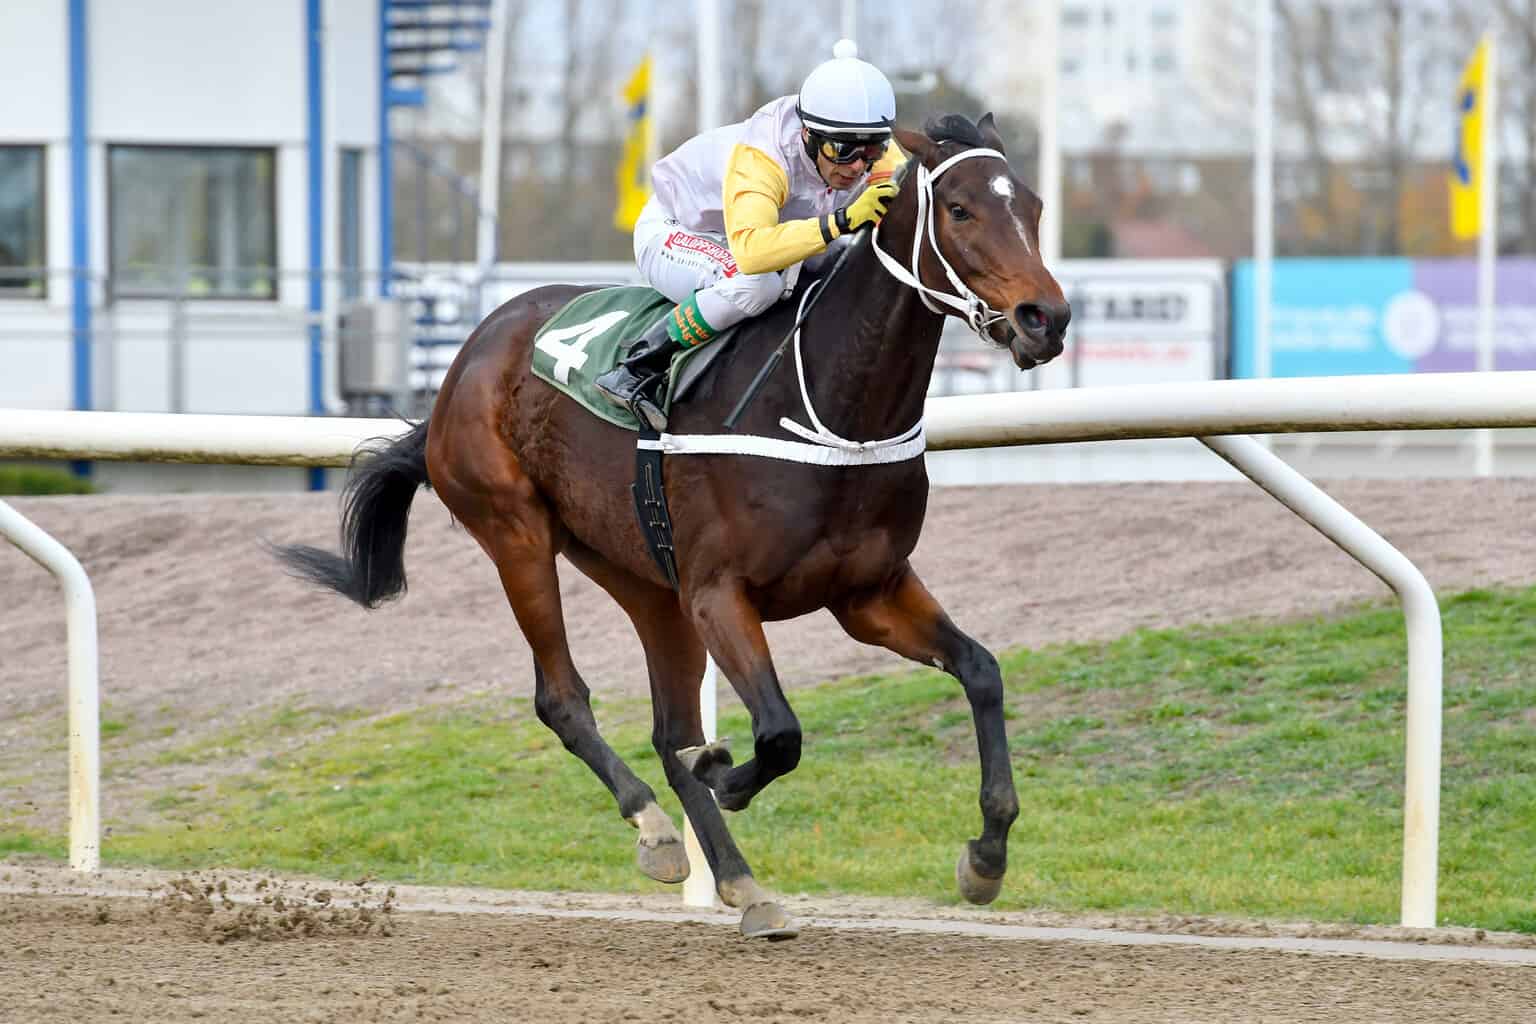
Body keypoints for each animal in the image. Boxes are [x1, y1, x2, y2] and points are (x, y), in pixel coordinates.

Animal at [276, 112, 1069, 939]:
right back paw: (656, 829)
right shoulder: (720, 593)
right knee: (564, 698)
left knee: (668, 731)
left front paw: (986, 857)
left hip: (645, 579)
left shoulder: (867, 592)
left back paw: (744, 884)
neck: (831, 407)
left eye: (1035, 206)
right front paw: (728, 775)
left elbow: (981, 669)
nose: (1046, 318)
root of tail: (464, 362)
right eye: (961, 211)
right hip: (516, 533)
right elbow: (779, 732)